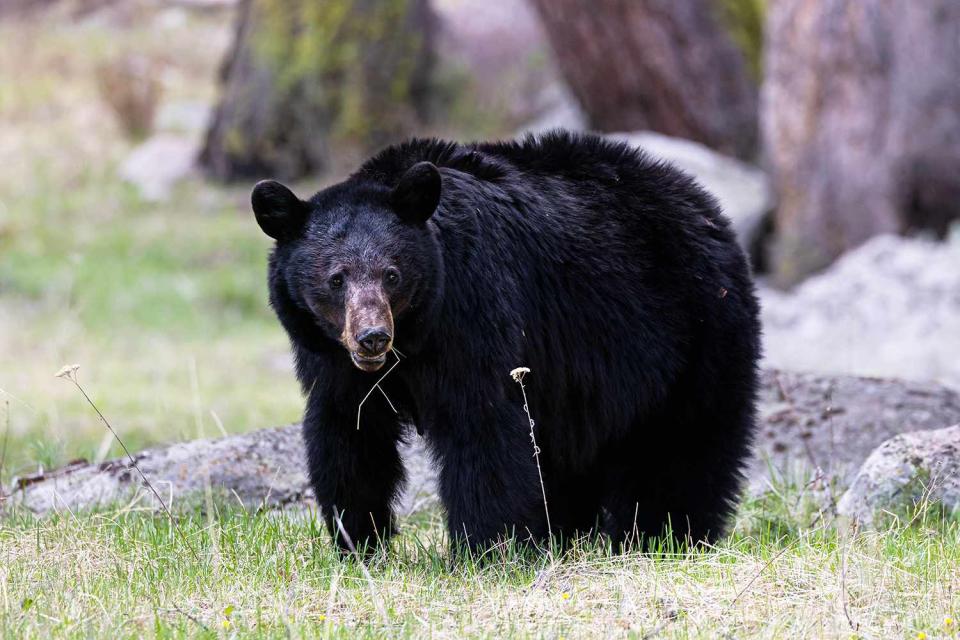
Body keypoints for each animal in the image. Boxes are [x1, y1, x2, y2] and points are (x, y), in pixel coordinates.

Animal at [251, 131, 760, 556]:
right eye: (336, 279)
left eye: (391, 274)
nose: (372, 338)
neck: (416, 334)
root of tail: (707, 208)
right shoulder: (332, 361)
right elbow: (349, 435)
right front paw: (358, 542)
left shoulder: (474, 308)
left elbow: (482, 424)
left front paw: (488, 549)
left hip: (693, 331)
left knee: (681, 444)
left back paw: (666, 536)